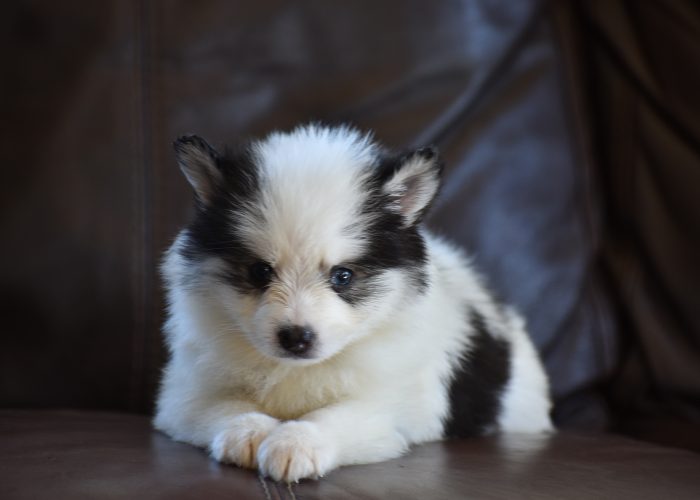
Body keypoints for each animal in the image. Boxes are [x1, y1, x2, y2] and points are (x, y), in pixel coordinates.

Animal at [154, 123, 552, 482]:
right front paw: (250, 432)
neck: (295, 370)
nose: (296, 337)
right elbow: (226, 406)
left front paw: (295, 443)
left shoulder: (387, 405)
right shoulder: (186, 395)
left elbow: (334, 416)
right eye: (259, 271)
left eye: (342, 276)